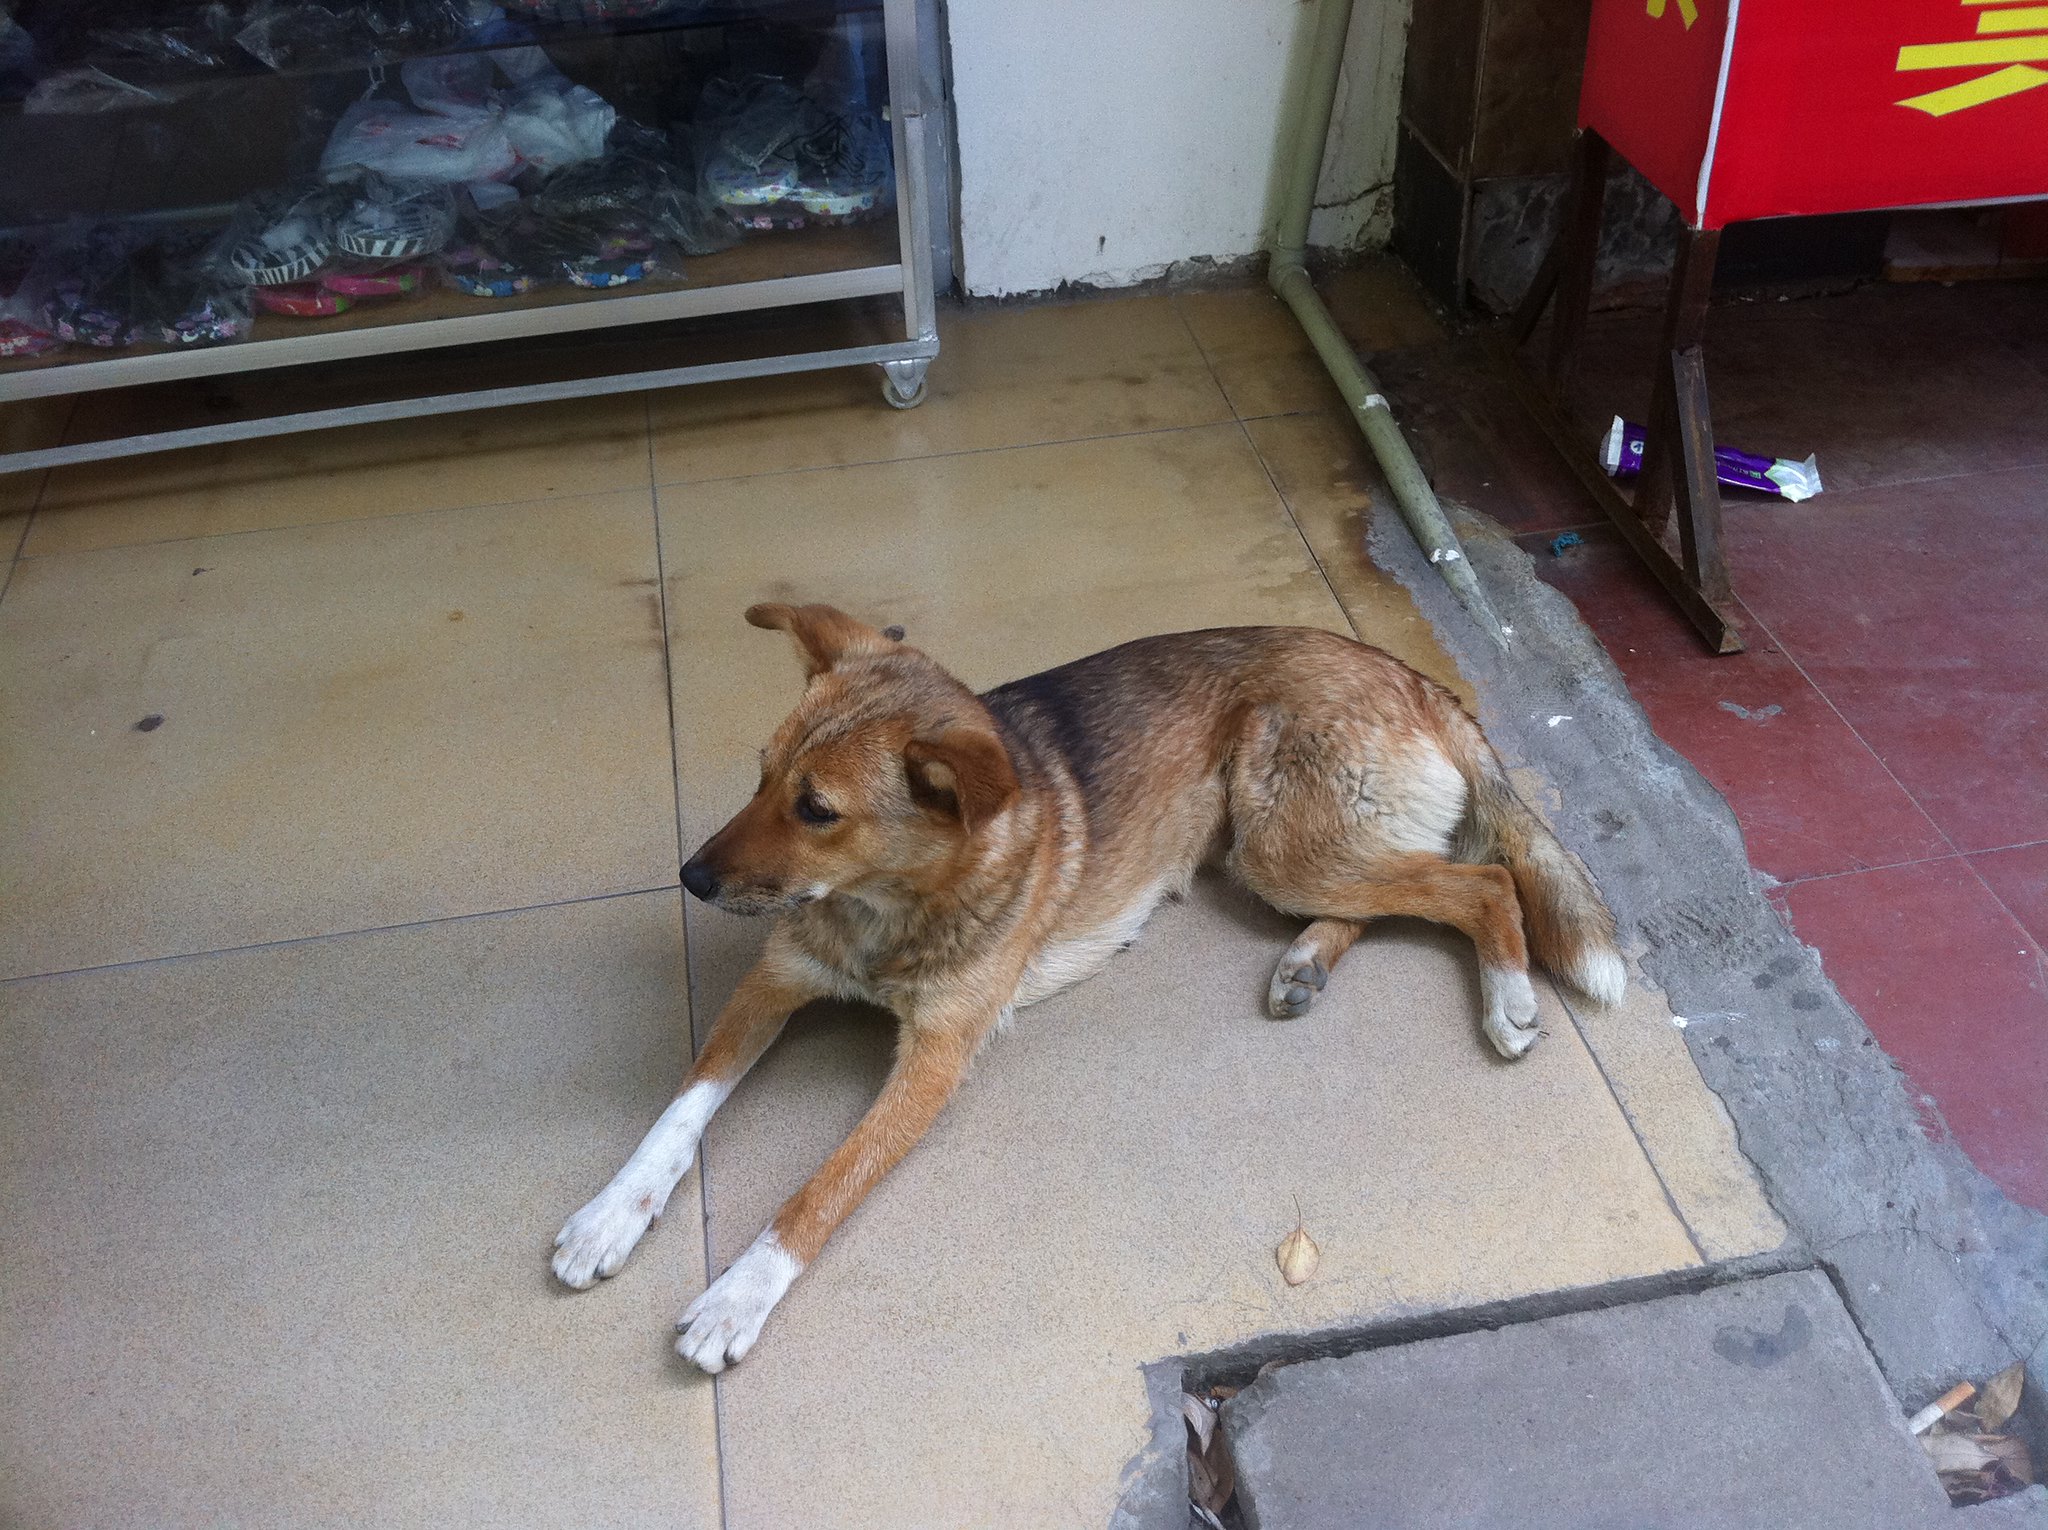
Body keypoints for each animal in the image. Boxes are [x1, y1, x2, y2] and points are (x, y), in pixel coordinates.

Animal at [552, 606, 1622, 1368]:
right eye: (762, 775)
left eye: (817, 810)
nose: (690, 878)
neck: (886, 910)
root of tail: (1405, 671)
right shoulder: (773, 983)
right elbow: (681, 1108)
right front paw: (610, 1215)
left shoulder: (934, 1063)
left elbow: (821, 1189)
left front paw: (738, 1295)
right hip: (1278, 854)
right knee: (1402, 891)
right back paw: (1306, 963)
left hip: (1284, 843)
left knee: (1483, 883)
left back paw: (1507, 997)